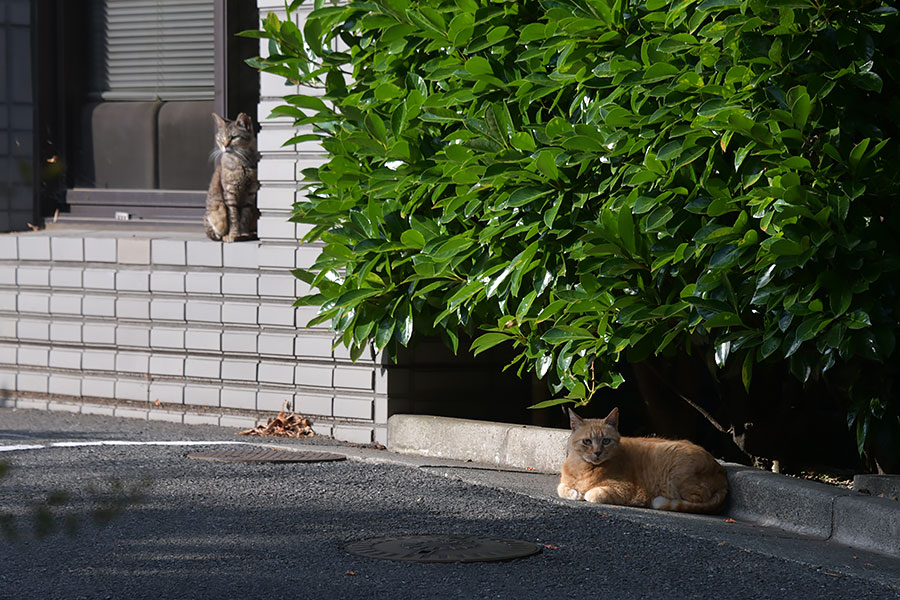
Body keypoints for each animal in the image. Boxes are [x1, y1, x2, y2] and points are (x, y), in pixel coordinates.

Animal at [556, 406, 732, 512]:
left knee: (698, 498)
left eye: (606, 441)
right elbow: (561, 489)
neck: (585, 468)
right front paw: (574, 493)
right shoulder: (564, 483)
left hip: (679, 476)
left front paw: (584, 493)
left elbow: (593, 494)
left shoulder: (624, 490)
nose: (598, 453)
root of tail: (720, 469)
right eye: (587, 442)